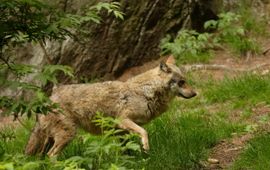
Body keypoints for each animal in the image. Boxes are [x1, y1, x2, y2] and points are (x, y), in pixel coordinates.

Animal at [24, 55, 196, 157]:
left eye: (185, 80)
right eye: (181, 82)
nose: (195, 93)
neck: (145, 92)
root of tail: (48, 97)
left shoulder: (121, 132)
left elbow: (126, 150)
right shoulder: (123, 121)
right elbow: (144, 132)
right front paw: (146, 148)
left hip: (51, 139)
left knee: (42, 157)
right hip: (67, 136)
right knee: (51, 155)